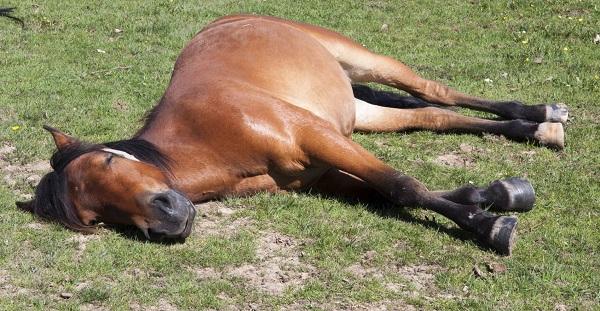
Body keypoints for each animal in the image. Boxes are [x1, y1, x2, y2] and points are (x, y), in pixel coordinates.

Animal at [15, 14, 568, 256]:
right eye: (95, 218)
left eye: (109, 161)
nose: (167, 220)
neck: (208, 138)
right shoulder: (318, 174)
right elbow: (389, 192)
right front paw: (497, 195)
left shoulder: (317, 136)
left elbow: (402, 186)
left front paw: (490, 227)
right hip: (357, 112)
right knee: (431, 114)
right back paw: (537, 127)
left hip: (361, 62)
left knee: (434, 91)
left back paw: (545, 114)